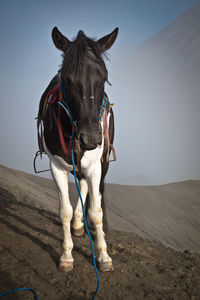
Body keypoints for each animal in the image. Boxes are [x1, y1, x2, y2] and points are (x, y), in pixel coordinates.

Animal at [36, 27, 118, 274]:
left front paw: (103, 256)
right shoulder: (56, 165)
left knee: (93, 191)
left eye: (104, 77)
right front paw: (66, 256)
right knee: (82, 185)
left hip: (102, 162)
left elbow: (97, 211)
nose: (90, 137)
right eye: (67, 79)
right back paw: (79, 224)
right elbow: (65, 211)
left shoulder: (95, 165)